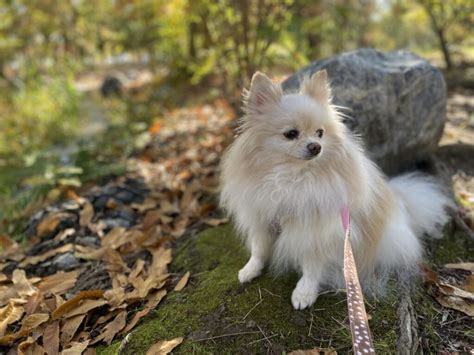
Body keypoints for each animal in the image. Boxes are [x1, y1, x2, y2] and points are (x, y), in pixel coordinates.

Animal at [220, 69, 450, 308]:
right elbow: (258, 249)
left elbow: (311, 264)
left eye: (320, 132)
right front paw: (250, 269)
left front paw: (304, 292)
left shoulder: (317, 231)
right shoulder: (263, 218)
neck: (292, 177)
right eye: (291, 134)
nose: (316, 146)